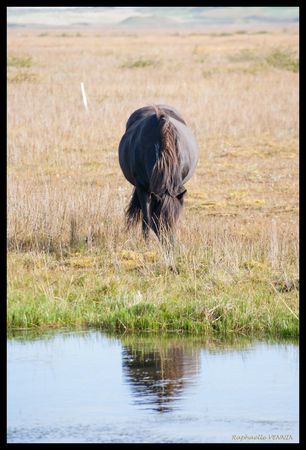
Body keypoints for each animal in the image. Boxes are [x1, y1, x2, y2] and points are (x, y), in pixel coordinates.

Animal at [117, 105, 198, 241]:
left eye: (175, 219)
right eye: (158, 221)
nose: (170, 244)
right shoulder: (143, 188)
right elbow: (146, 218)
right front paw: (146, 242)